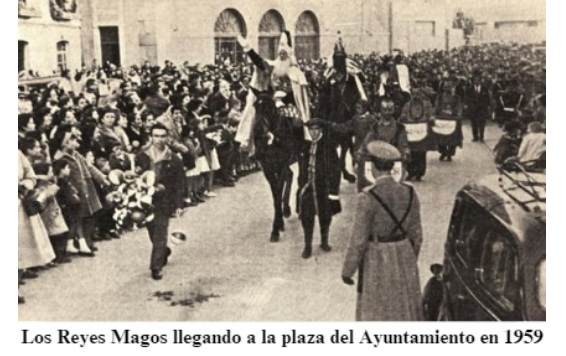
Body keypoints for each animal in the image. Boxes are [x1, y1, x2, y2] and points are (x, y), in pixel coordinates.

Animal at [252, 87, 306, 242]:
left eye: (270, 107)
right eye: (255, 106)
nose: (258, 130)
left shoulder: (281, 165)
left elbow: (277, 193)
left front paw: (275, 229)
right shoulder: (268, 169)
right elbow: (275, 194)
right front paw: (279, 223)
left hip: (301, 154)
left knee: (300, 178)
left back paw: (298, 207)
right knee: (291, 175)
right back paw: (286, 208)